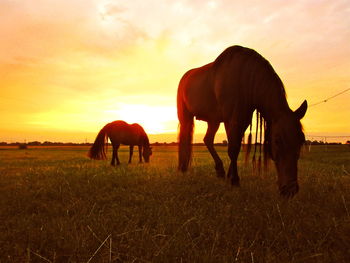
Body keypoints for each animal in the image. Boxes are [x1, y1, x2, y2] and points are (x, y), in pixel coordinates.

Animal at [178, 45, 306, 198]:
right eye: (277, 141)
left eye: (301, 140)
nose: (291, 189)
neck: (244, 79)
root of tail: (185, 77)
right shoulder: (231, 120)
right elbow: (233, 149)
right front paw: (234, 180)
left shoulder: (242, 120)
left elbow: (236, 147)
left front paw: (229, 176)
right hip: (185, 117)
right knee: (185, 138)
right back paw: (183, 168)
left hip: (213, 120)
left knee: (207, 139)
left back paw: (219, 170)